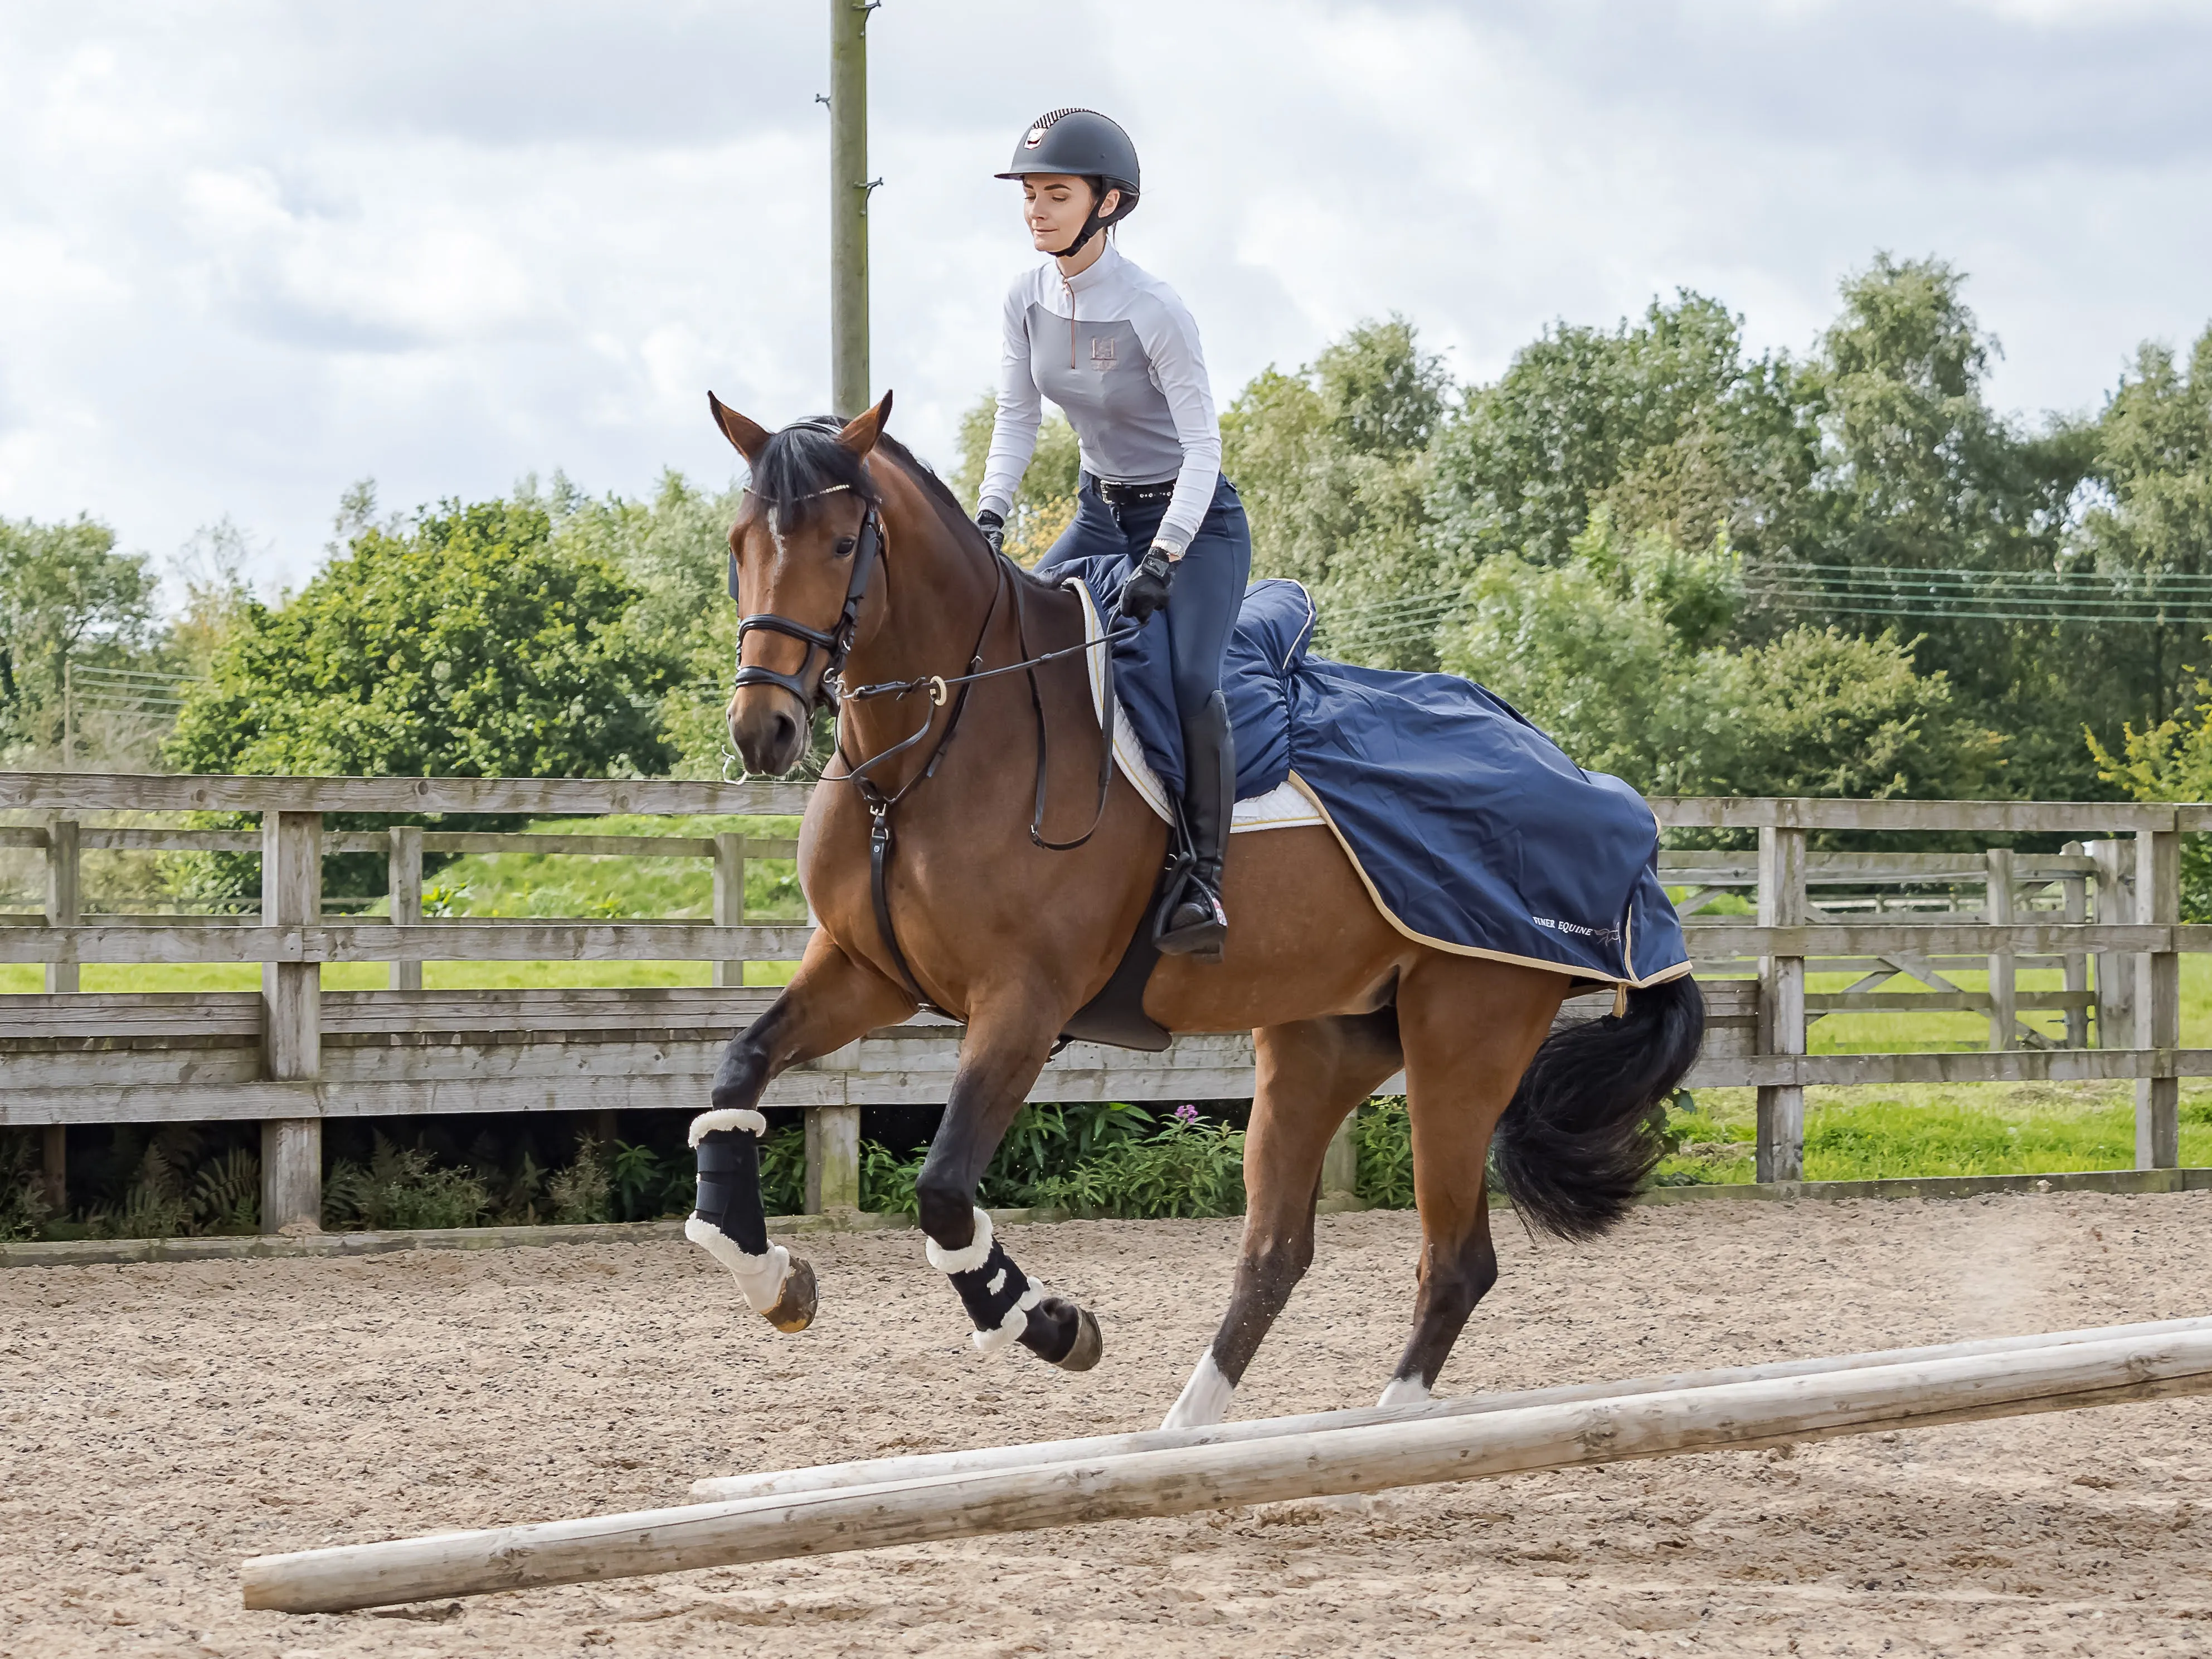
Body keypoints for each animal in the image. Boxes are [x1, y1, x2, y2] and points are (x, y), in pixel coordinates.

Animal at [681, 389, 1699, 1433]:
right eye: (738, 543)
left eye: (844, 543)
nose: (763, 730)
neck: (929, 752)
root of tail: (1602, 800)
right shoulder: (867, 972)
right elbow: (737, 1072)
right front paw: (771, 1277)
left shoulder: (1022, 1004)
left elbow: (943, 1192)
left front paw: (1051, 1323)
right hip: (1321, 1043)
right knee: (1275, 1253)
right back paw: (1187, 1433)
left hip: (1461, 1043)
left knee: (1455, 1260)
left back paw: (1386, 1426)